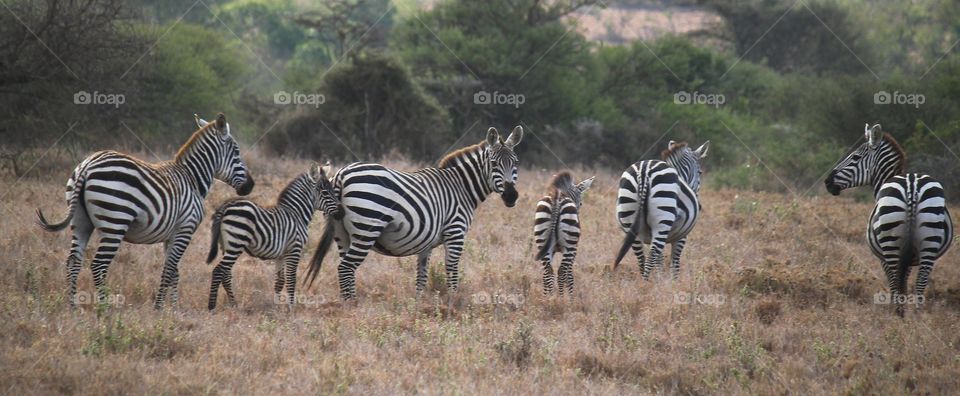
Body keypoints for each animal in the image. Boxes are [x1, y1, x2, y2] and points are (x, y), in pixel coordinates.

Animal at [37, 112, 255, 310]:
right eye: (236, 151)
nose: (250, 186)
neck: (192, 179)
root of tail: (87, 166)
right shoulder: (185, 229)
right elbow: (169, 270)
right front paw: (159, 308)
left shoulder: (172, 235)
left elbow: (174, 272)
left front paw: (173, 309)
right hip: (115, 222)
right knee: (98, 264)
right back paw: (105, 309)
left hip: (80, 221)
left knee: (73, 262)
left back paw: (73, 307)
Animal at [204, 161, 340, 310]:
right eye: (325, 192)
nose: (342, 212)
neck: (296, 214)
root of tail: (225, 206)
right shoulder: (294, 249)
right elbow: (291, 279)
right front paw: (291, 308)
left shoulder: (281, 254)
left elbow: (280, 281)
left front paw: (277, 306)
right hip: (236, 242)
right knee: (219, 271)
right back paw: (212, 307)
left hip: (226, 244)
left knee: (226, 274)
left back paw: (234, 304)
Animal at [306, 127, 524, 300]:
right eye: (494, 163)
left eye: (515, 163)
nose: (511, 196)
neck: (461, 187)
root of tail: (341, 174)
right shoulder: (456, 232)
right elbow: (452, 270)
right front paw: (453, 301)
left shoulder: (426, 243)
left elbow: (422, 276)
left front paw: (419, 303)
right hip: (367, 227)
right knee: (346, 268)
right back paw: (353, 307)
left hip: (341, 232)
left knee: (346, 269)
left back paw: (348, 304)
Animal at [612, 139, 708, 278]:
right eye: (700, 172)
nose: (699, 206)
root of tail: (644, 173)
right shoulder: (681, 236)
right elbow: (675, 261)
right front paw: (673, 281)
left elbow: (660, 260)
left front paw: (659, 277)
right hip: (662, 220)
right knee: (651, 255)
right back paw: (646, 282)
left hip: (629, 220)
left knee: (641, 257)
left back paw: (642, 281)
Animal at [824, 124, 952, 316]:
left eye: (855, 157)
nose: (827, 182)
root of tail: (912, 184)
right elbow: (904, 283)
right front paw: (904, 312)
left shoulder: (883, 258)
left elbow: (895, 285)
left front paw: (898, 312)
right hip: (929, 242)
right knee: (920, 283)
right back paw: (917, 316)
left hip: (891, 244)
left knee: (896, 282)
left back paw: (898, 314)